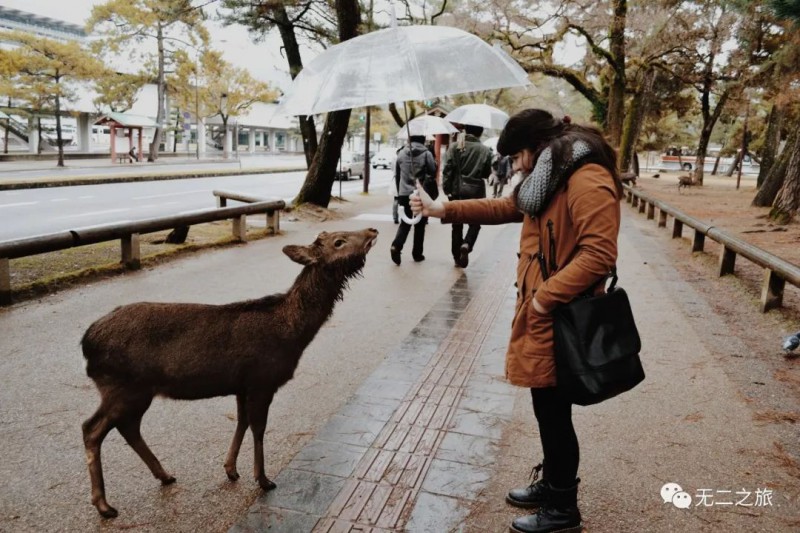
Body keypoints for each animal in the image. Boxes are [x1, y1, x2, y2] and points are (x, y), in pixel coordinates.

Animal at [80, 228, 378, 516]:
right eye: (339, 241)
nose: (372, 231)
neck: (293, 335)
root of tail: (86, 342)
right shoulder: (262, 379)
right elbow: (258, 427)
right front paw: (263, 479)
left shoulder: (241, 384)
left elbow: (241, 422)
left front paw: (231, 469)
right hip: (124, 386)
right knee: (92, 428)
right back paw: (104, 505)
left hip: (135, 390)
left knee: (127, 427)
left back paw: (164, 475)